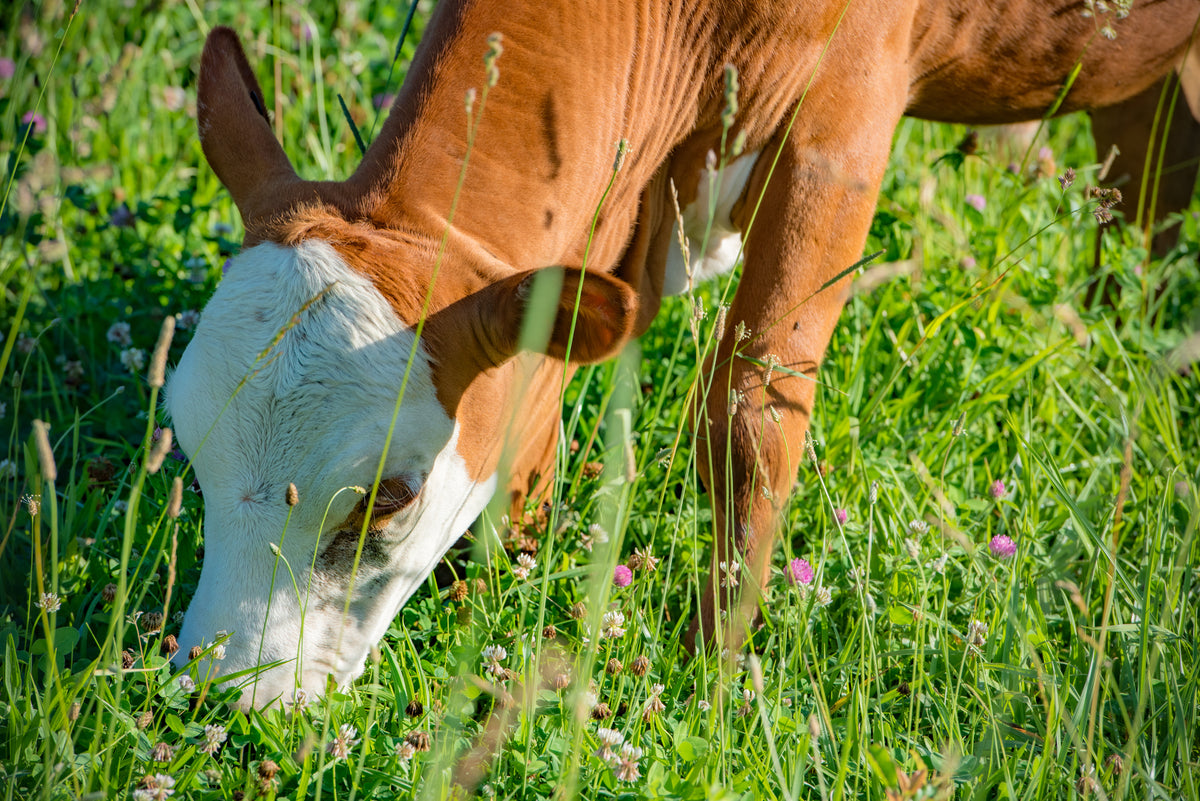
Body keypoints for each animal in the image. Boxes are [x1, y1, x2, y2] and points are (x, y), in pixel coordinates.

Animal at [168, 1, 1200, 708]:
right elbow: (538, 427)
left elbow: (752, 411)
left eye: (388, 497)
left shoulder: (843, 121)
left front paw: (715, 672)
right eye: (188, 445)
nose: (222, 695)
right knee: (1150, 169)